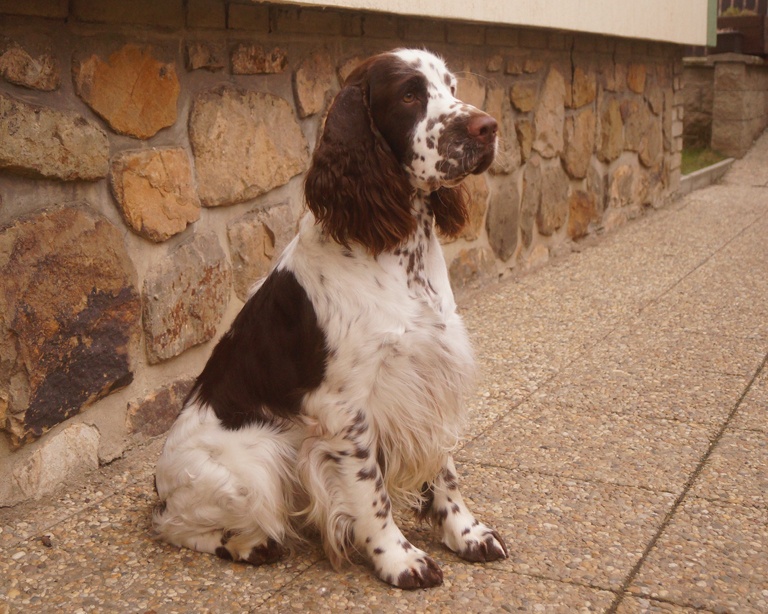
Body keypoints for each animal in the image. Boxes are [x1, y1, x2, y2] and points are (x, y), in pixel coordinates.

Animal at [153, 49, 508, 592]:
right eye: (409, 94)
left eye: (451, 85)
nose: (487, 127)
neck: (397, 251)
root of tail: (160, 482)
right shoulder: (346, 409)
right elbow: (371, 494)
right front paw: (399, 560)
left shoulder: (432, 376)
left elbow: (444, 470)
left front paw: (467, 534)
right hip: (254, 460)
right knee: (173, 524)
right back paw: (248, 544)